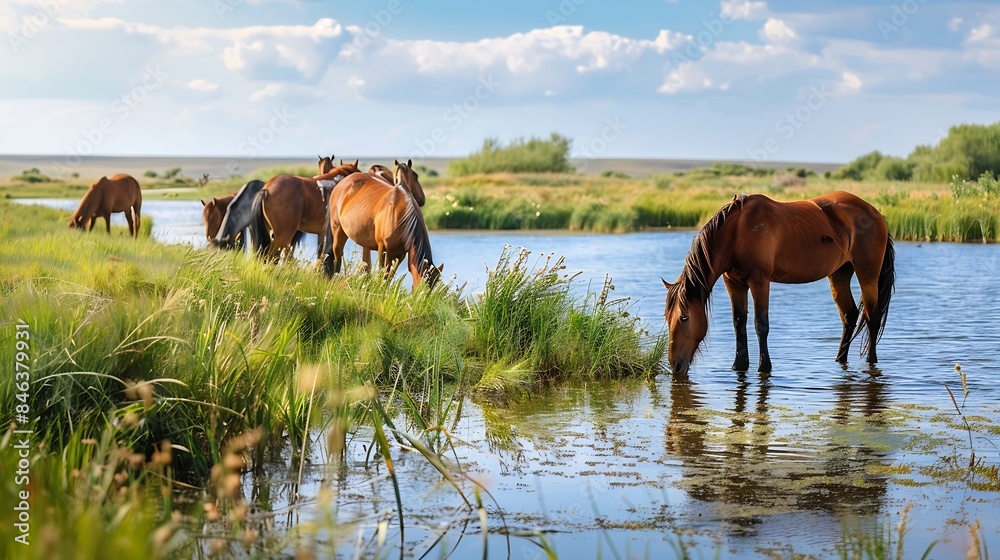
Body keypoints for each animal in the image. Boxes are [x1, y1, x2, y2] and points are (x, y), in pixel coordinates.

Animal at [323, 159, 442, 288]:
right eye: (415, 176)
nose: (422, 199)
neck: (401, 215)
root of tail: (341, 183)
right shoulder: (383, 249)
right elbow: (382, 272)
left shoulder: (400, 254)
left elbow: (389, 276)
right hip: (338, 230)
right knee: (337, 256)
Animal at [662, 191, 895, 375]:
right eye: (667, 317)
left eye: (684, 317)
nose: (675, 365)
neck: (737, 232)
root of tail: (875, 213)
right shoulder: (734, 283)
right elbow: (739, 323)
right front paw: (739, 365)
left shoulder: (759, 280)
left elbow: (760, 324)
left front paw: (764, 366)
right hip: (839, 274)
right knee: (850, 315)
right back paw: (840, 359)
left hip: (868, 274)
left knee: (872, 317)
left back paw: (871, 361)